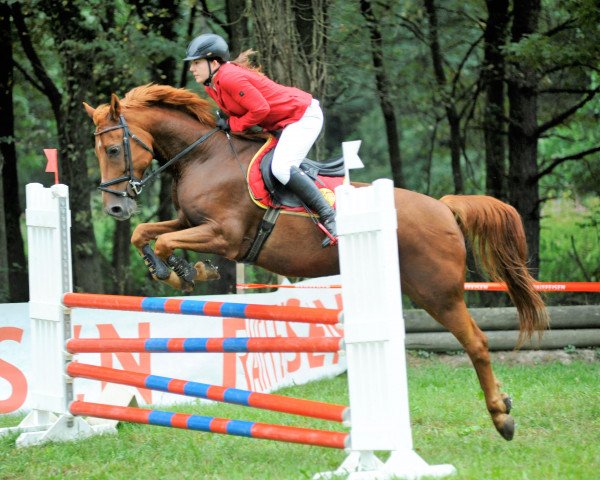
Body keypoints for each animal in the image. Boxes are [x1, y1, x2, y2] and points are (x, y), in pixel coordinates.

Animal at [83, 82, 548, 438]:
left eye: (113, 149)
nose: (115, 209)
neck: (203, 155)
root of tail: (444, 207)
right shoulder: (188, 220)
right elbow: (149, 234)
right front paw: (173, 268)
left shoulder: (224, 235)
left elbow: (167, 243)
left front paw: (186, 271)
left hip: (437, 292)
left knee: (477, 342)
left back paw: (502, 417)